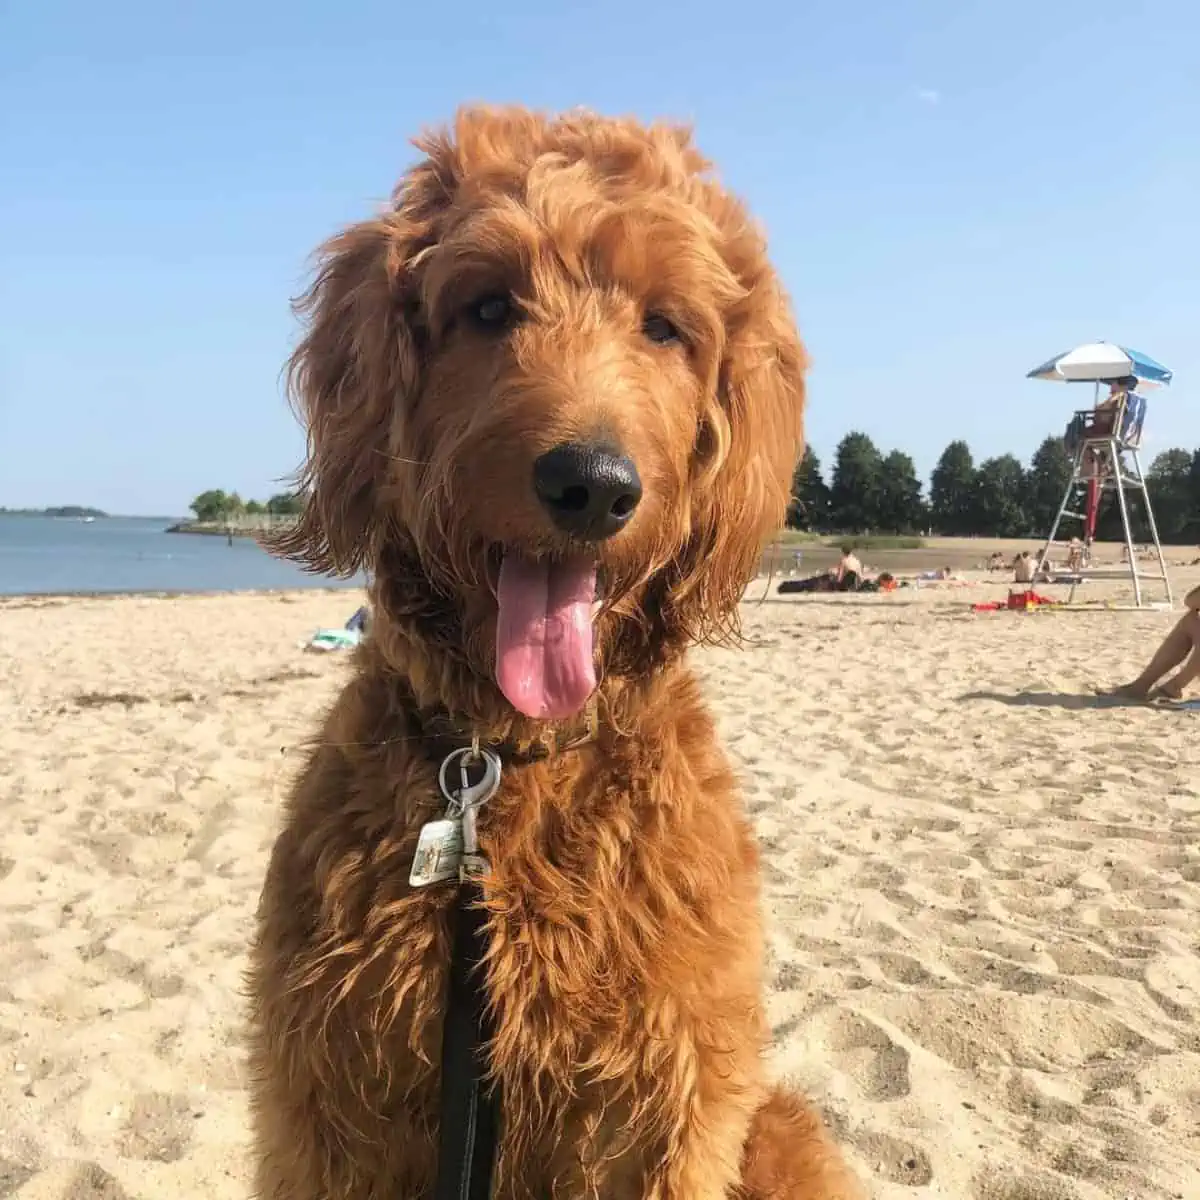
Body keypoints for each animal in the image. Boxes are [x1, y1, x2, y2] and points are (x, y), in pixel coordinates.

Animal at [248, 105, 859, 1200]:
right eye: (488, 305)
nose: (594, 484)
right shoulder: (328, 1108)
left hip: (783, 1130)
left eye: (665, 325)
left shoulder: (665, 1109)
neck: (506, 768)